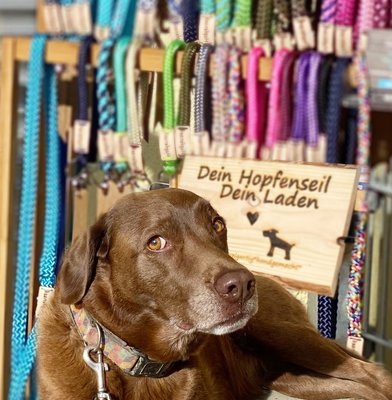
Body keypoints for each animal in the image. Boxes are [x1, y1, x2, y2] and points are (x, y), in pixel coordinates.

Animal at [37, 188, 392, 400]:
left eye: (218, 225)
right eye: (156, 242)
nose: (243, 284)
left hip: (280, 333)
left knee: (373, 373)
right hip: (294, 378)